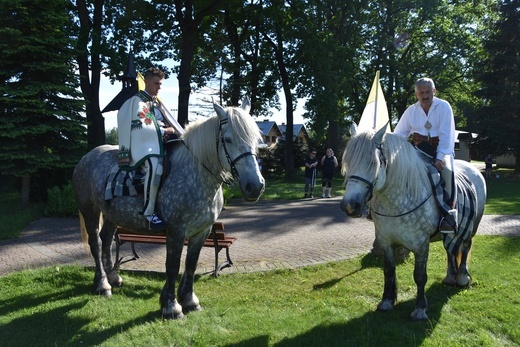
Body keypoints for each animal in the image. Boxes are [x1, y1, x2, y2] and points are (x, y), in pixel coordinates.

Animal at [73, 97, 264, 318]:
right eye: (228, 139)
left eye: (255, 138)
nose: (255, 186)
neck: (195, 174)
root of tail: (86, 158)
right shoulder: (176, 232)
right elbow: (172, 266)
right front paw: (171, 305)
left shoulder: (202, 231)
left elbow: (191, 264)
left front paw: (189, 300)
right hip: (90, 210)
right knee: (95, 243)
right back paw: (102, 284)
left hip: (112, 215)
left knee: (106, 240)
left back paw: (114, 278)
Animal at [340, 124, 486, 320]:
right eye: (347, 162)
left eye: (373, 163)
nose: (350, 206)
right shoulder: (385, 242)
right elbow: (389, 270)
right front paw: (386, 301)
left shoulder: (421, 245)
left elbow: (420, 276)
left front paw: (420, 309)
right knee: (450, 249)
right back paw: (450, 277)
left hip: (472, 227)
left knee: (465, 247)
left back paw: (462, 278)